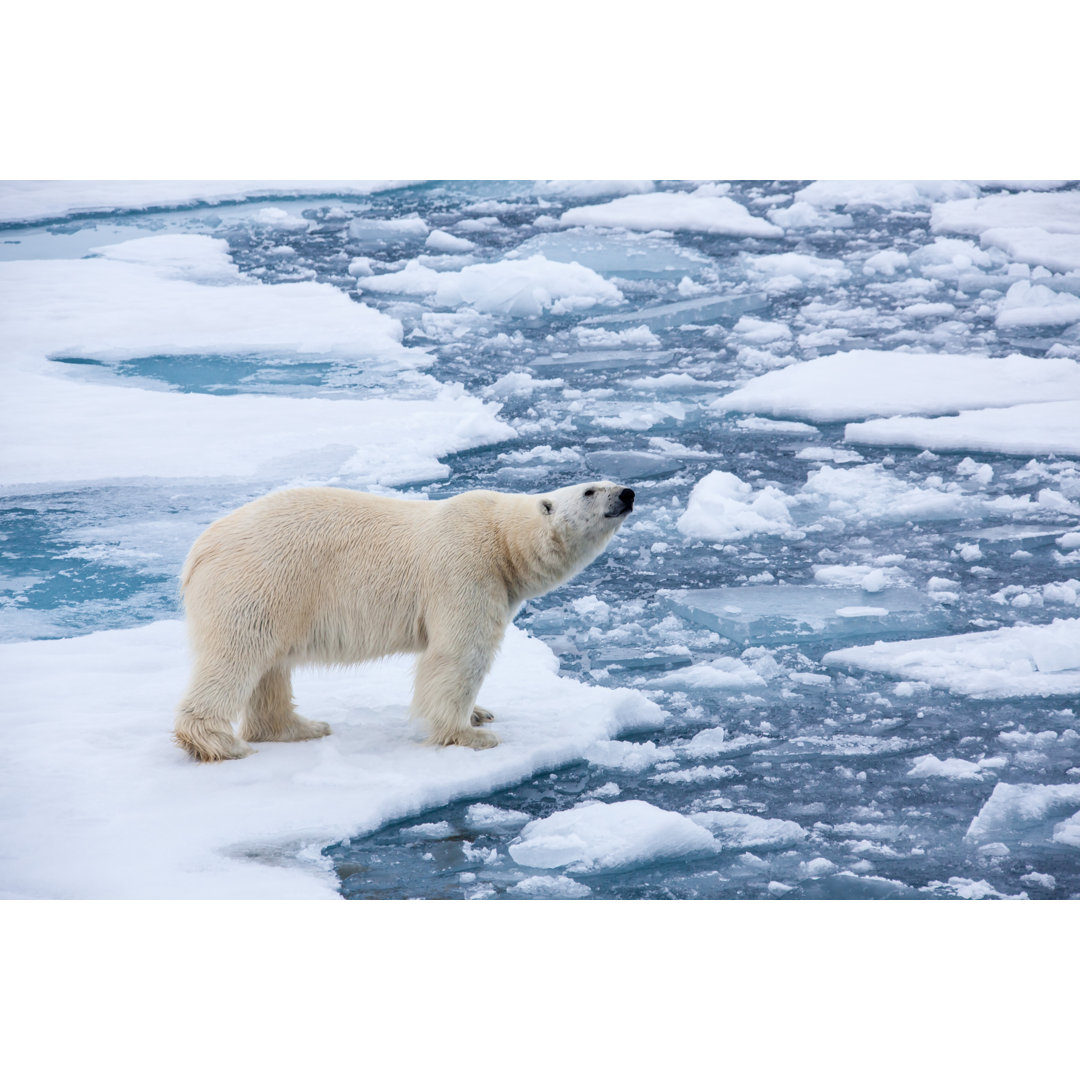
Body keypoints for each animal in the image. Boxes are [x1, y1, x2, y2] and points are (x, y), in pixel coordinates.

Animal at [174, 481, 630, 760]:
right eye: (590, 490)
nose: (627, 493)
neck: (502, 539)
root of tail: (199, 548)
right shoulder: (466, 568)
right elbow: (459, 654)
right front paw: (470, 734)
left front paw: (480, 713)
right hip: (259, 579)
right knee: (238, 655)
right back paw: (220, 743)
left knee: (270, 666)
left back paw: (299, 726)